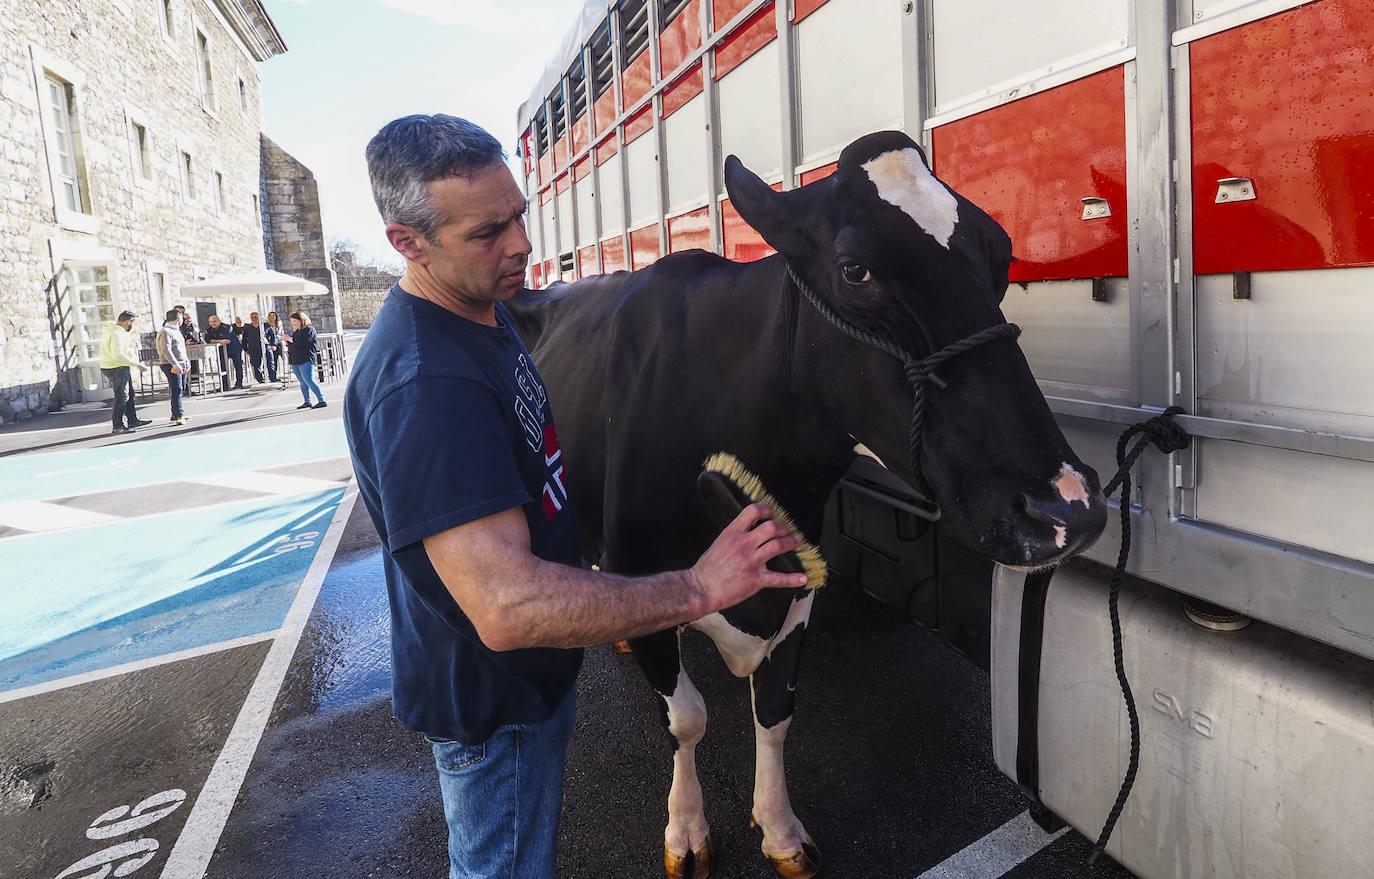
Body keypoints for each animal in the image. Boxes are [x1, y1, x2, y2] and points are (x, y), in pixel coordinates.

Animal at [511, 130, 1110, 879]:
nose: (1067, 505)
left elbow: (776, 709)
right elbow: (686, 718)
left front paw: (780, 829)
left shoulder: (799, 580)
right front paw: (686, 830)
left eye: (1000, 252)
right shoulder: (643, 568)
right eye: (854, 269)